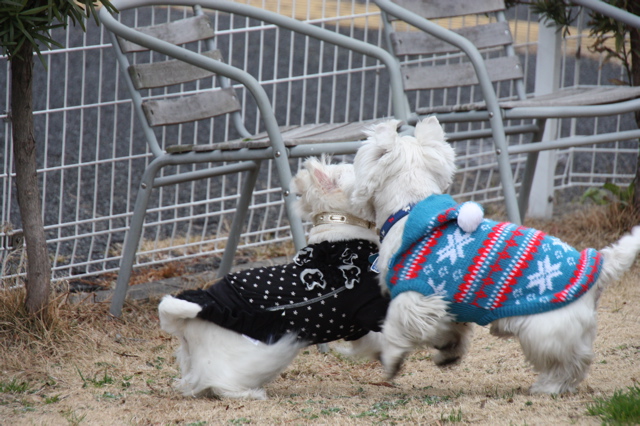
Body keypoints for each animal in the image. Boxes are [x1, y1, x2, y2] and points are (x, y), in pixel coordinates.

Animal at [159, 156, 390, 400]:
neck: (342, 240)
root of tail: (191, 321)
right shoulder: (371, 308)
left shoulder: (359, 328)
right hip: (259, 356)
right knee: (221, 383)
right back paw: (252, 393)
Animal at [352, 115, 640, 392]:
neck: (408, 210)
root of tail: (599, 267)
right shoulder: (447, 305)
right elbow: (450, 329)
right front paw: (449, 352)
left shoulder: (414, 296)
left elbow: (394, 326)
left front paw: (391, 361)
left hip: (543, 332)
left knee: (571, 363)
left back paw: (547, 387)